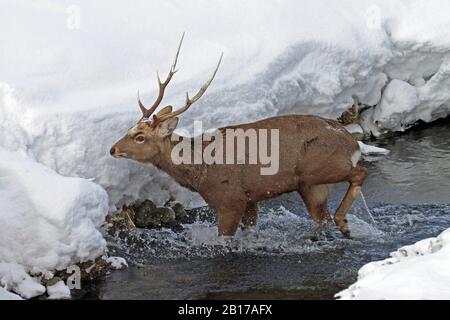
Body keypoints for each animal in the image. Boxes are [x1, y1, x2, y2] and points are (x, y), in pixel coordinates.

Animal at [110, 36, 368, 239]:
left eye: (140, 137)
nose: (112, 149)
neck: (200, 170)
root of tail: (352, 143)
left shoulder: (230, 198)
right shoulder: (251, 198)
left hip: (320, 165)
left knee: (359, 172)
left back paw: (344, 225)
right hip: (312, 186)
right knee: (321, 217)